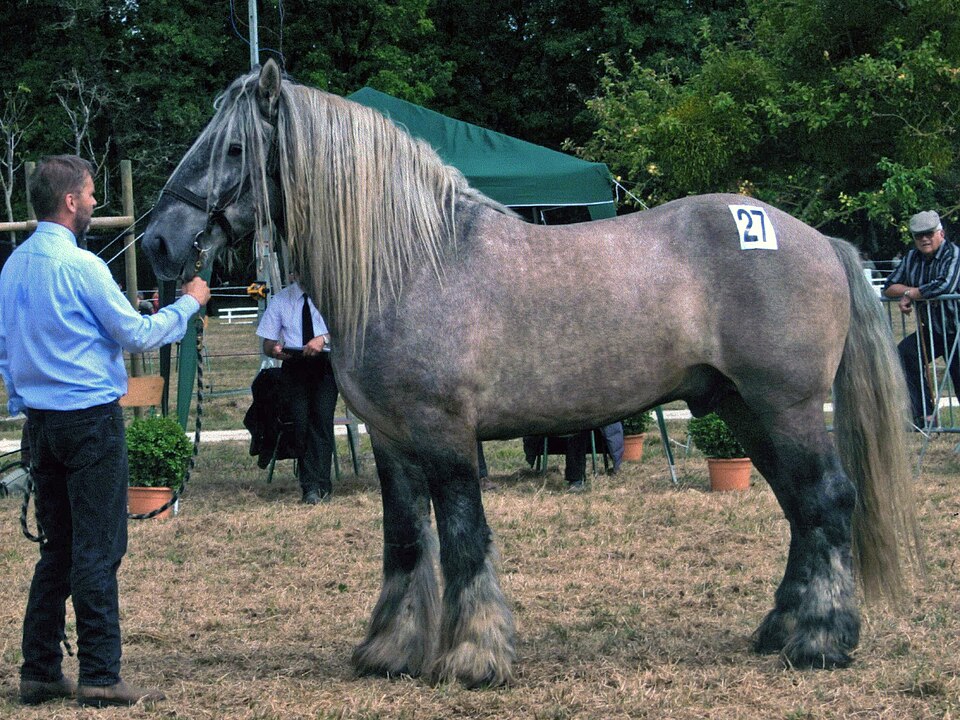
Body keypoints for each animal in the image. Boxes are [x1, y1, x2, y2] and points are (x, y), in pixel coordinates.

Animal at [142, 59, 920, 687]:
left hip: (786, 408)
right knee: (801, 512)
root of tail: (820, 241)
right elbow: (404, 543)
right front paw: (390, 653)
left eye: (235, 147)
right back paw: (779, 631)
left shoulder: (445, 437)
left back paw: (822, 642)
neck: (413, 264)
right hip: (742, 411)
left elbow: (463, 539)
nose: (158, 243)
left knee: (827, 503)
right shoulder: (392, 442)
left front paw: (473, 658)